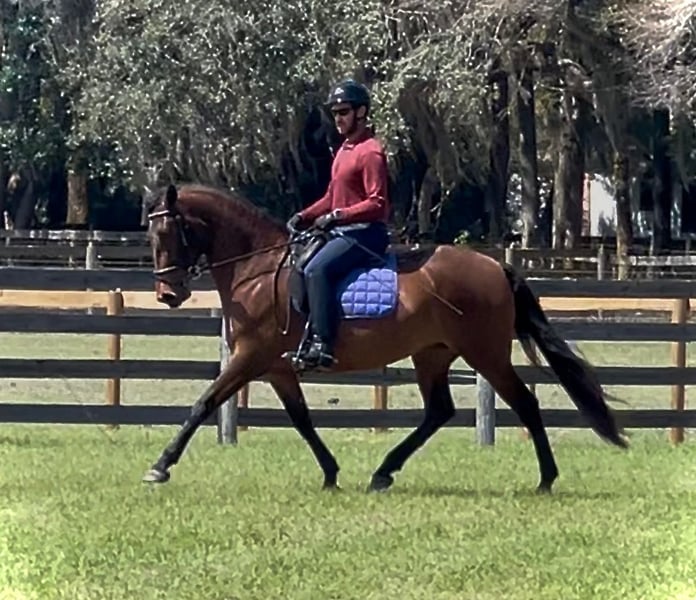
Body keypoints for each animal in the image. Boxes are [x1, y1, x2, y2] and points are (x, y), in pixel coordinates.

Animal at [141, 182, 628, 493]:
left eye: (167, 232)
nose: (168, 294)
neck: (257, 269)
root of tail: (494, 265)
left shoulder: (250, 356)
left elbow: (204, 403)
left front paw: (160, 466)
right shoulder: (277, 366)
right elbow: (301, 419)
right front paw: (331, 473)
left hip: (485, 354)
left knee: (524, 403)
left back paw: (546, 479)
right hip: (432, 355)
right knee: (439, 411)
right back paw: (384, 472)